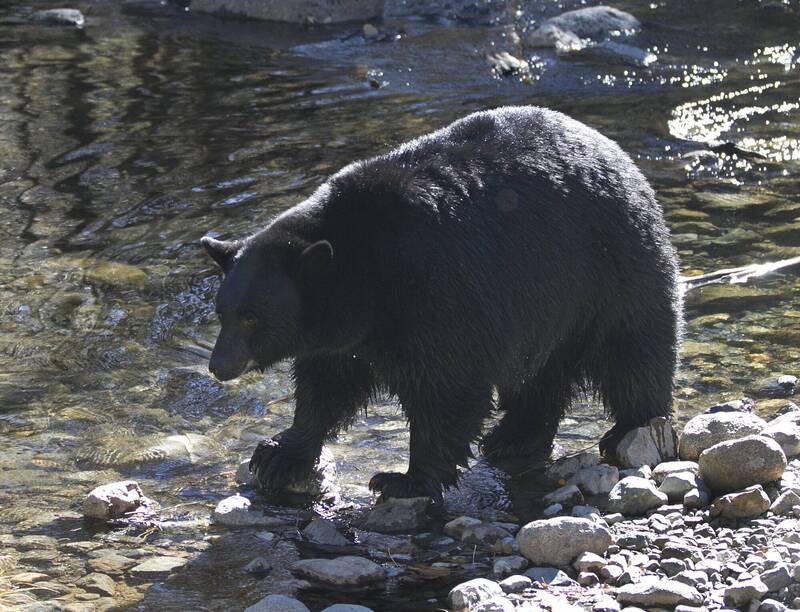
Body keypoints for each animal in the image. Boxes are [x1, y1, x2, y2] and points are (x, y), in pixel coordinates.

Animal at [203, 106, 684, 502]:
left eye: (252, 316)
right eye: (222, 313)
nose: (219, 366)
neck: (365, 273)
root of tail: (616, 153)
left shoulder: (438, 290)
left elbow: (447, 388)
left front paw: (405, 479)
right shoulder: (343, 336)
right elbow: (325, 386)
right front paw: (279, 455)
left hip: (612, 269)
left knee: (633, 351)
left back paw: (630, 430)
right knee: (544, 372)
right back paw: (513, 435)